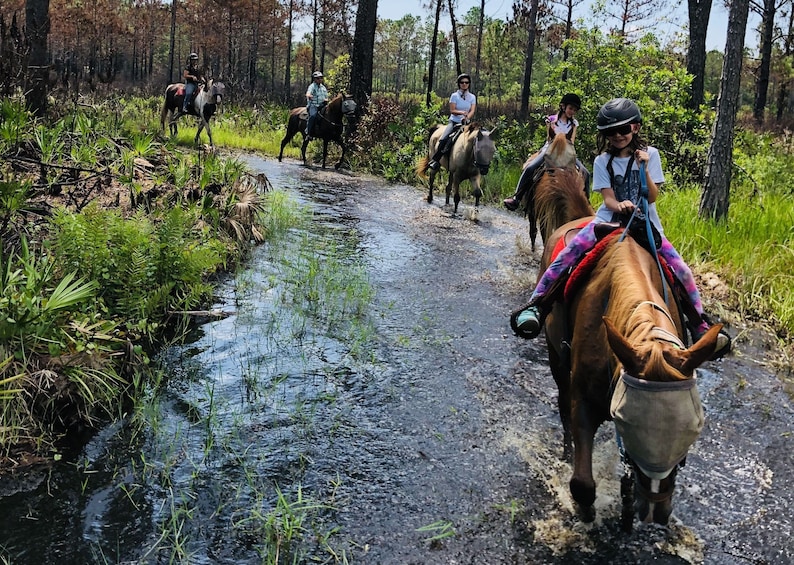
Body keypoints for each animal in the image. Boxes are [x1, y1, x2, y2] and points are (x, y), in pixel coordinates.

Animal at [536, 183, 720, 528]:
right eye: (632, 427)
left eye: (690, 433)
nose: (654, 511)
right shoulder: (583, 401)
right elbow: (582, 483)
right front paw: (586, 510)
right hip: (555, 357)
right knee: (562, 405)